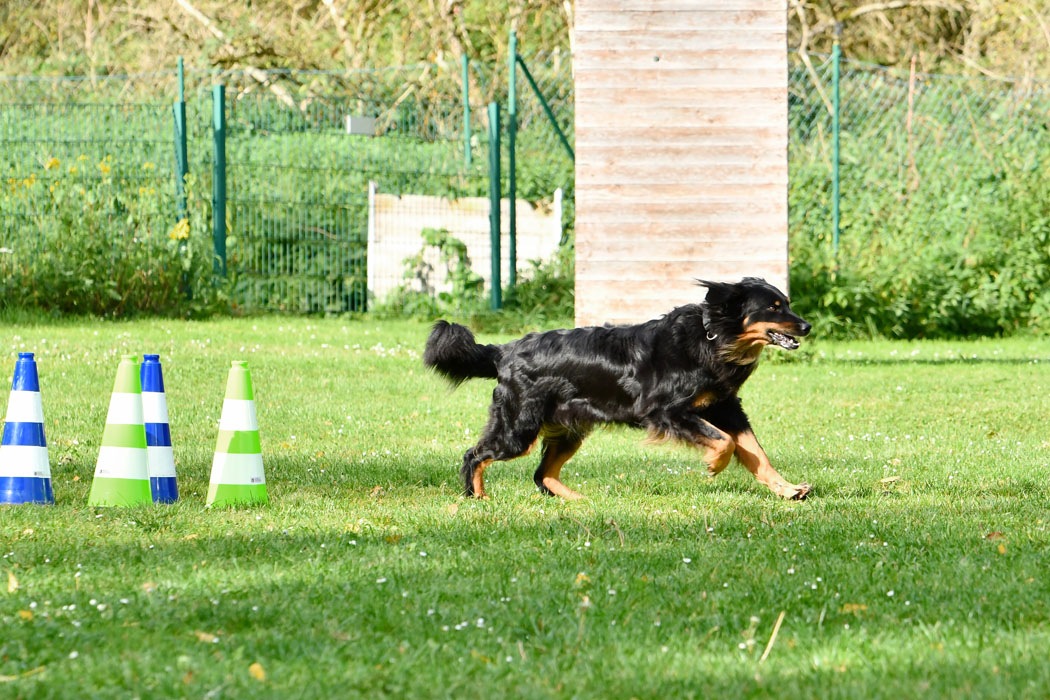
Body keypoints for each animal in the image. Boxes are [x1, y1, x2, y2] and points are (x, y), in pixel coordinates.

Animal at [424, 277, 810, 501]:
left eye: (788, 303)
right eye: (773, 307)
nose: (806, 326)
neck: (711, 337)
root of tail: (504, 351)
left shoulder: (726, 407)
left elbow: (755, 452)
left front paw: (787, 489)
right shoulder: (665, 411)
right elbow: (725, 442)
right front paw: (714, 465)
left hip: (568, 429)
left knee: (541, 474)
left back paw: (578, 501)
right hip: (518, 428)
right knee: (474, 455)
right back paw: (477, 497)